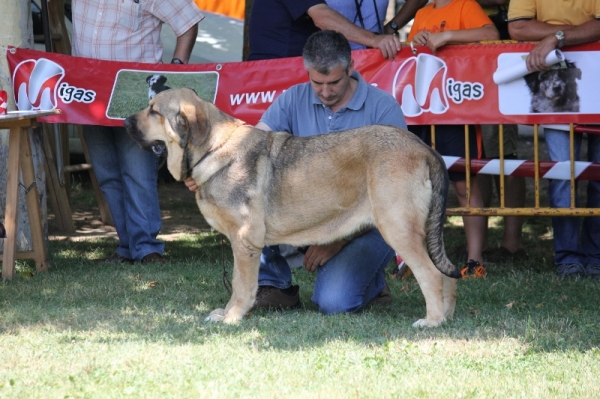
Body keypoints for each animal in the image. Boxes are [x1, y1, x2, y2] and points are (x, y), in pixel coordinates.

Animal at [124, 88, 462, 328]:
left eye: (154, 111)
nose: (125, 121)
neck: (212, 148)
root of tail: (424, 148)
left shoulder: (244, 240)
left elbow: (241, 285)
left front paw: (233, 317)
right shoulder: (245, 243)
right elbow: (237, 285)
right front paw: (228, 313)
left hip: (399, 230)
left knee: (432, 276)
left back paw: (431, 322)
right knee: (446, 277)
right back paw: (446, 317)